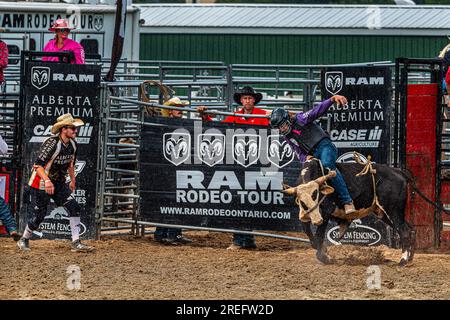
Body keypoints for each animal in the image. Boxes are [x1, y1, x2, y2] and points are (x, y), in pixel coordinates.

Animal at [286, 159, 416, 266]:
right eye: (301, 201)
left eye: (315, 194)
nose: (317, 220)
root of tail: (398, 171)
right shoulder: (305, 214)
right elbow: (311, 236)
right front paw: (324, 252)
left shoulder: (326, 212)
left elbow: (318, 237)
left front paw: (325, 258)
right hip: (384, 213)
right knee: (410, 229)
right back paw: (410, 258)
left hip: (393, 210)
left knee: (404, 231)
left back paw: (403, 260)